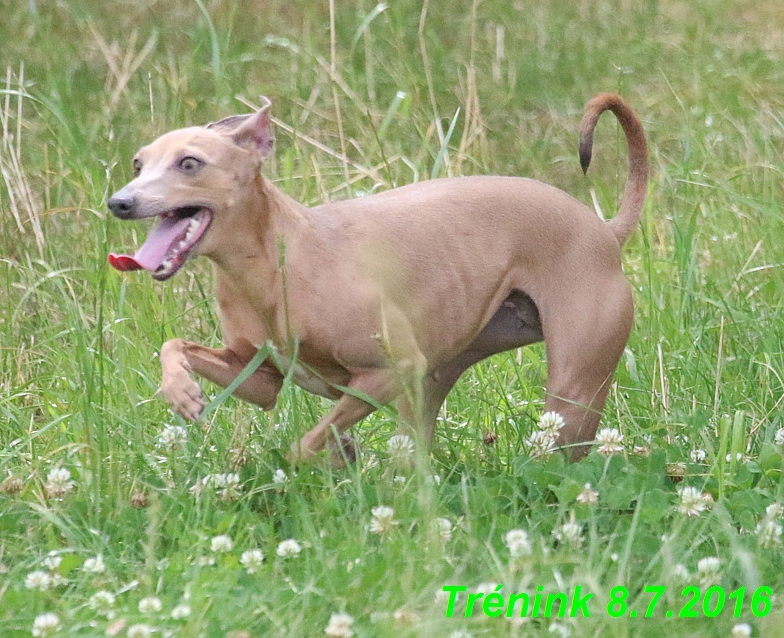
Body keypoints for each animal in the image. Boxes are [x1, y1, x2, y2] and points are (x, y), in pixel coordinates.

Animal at [107, 94, 648, 464]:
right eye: (138, 163)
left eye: (190, 162)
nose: (119, 202)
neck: (271, 267)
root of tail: (603, 229)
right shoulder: (260, 379)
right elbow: (176, 346)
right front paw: (181, 391)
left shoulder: (390, 371)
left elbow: (307, 442)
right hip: (436, 381)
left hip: (572, 392)